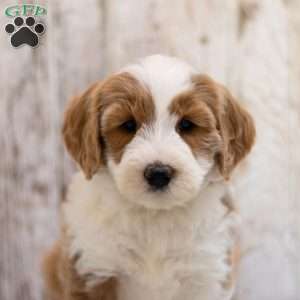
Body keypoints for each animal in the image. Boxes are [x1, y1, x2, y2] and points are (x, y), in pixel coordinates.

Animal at [42, 54, 255, 300]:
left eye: (186, 125)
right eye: (128, 125)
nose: (159, 173)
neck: (155, 217)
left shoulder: (206, 275)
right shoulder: (93, 269)